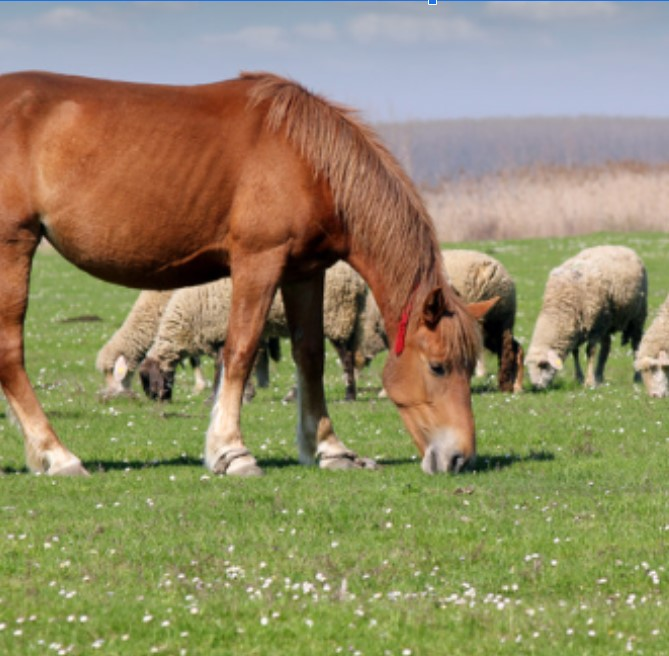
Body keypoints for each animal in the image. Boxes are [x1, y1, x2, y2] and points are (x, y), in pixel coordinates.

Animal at [139, 260, 368, 400]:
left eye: (147, 380)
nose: (158, 400)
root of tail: (357, 281)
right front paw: (245, 393)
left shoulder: (219, 331)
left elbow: (220, 367)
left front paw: (214, 397)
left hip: (337, 316)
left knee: (346, 358)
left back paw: (349, 394)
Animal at [524, 246, 644, 390]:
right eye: (528, 370)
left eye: (544, 365)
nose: (537, 387)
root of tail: (622, 247)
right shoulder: (575, 328)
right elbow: (575, 352)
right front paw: (579, 378)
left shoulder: (595, 327)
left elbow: (590, 351)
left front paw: (589, 381)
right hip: (607, 320)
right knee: (605, 348)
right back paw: (599, 376)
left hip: (637, 316)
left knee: (636, 345)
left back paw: (637, 377)